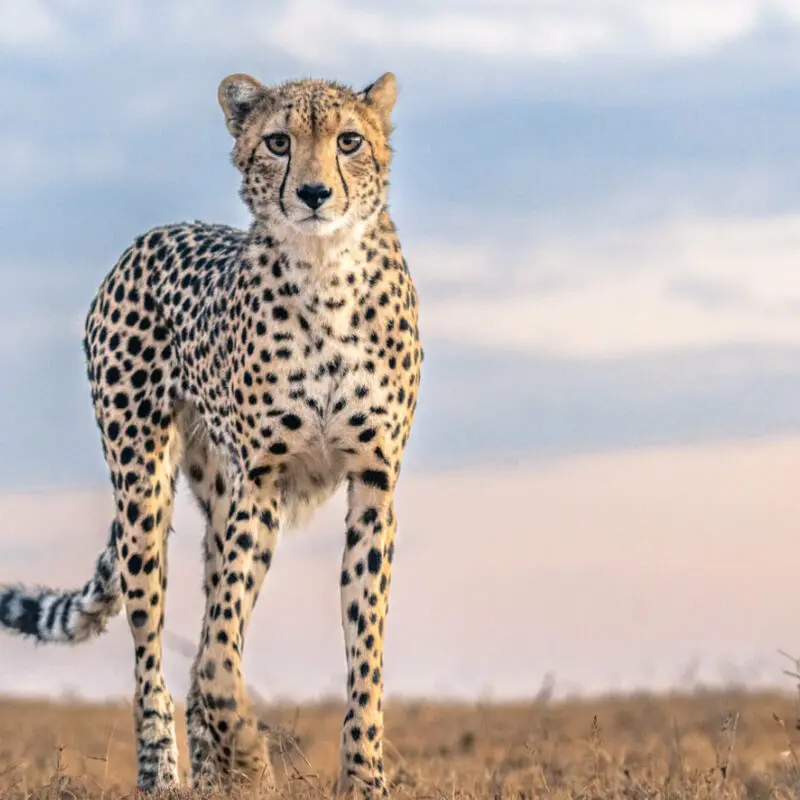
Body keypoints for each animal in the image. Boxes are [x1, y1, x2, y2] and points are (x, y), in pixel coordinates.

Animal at [0, 70, 422, 798]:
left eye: (349, 141)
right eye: (278, 142)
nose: (314, 193)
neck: (325, 273)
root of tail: (152, 235)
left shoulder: (373, 483)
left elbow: (363, 647)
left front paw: (364, 774)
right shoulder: (260, 480)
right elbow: (219, 647)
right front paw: (248, 754)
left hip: (217, 499)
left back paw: (210, 768)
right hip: (144, 491)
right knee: (154, 651)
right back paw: (166, 772)